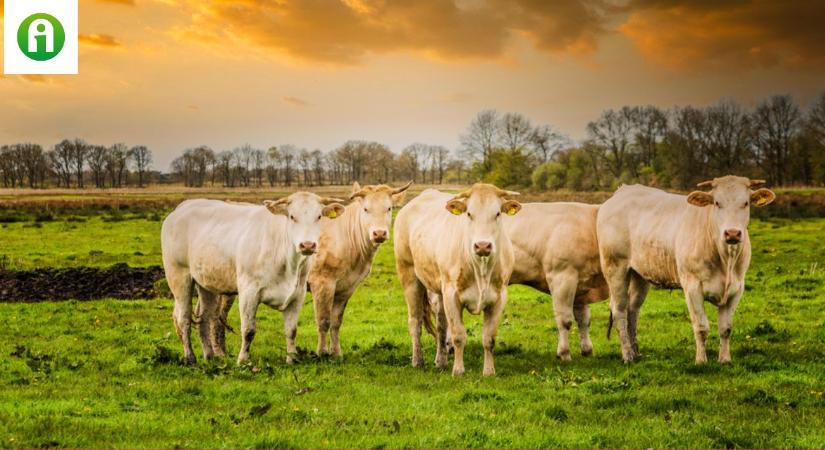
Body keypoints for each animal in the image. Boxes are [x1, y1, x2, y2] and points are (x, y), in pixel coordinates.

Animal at [161, 193, 344, 366]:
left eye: (319, 216)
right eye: (292, 216)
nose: (307, 245)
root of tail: (183, 207)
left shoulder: (297, 295)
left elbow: (291, 331)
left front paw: (292, 358)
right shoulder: (249, 291)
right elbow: (248, 330)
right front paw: (243, 360)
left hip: (207, 284)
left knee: (203, 318)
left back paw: (210, 357)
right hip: (179, 276)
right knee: (184, 318)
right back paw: (190, 357)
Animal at [394, 183, 520, 376]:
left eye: (497, 213)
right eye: (469, 214)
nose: (482, 245)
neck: (481, 269)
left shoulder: (499, 297)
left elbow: (489, 337)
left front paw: (489, 371)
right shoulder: (452, 295)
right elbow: (458, 335)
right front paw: (459, 371)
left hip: (439, 289)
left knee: (441, 325)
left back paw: (441, 361)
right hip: (409, 275)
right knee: (415, 322)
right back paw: (418, 361)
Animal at [498, 202, 608, 360]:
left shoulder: (582, 285)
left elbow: (584, 319)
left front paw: (587, 351)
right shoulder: (562, 277)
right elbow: (565, 320)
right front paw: (564, 353)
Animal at [596, 174, 776, 364]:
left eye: (746, 203)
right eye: (717, 203)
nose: (732, 233)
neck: (726, 260)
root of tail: (623, 191)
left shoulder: (737, 288)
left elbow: (726, 328)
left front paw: (725, 359)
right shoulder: (692, 287)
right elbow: (701, 327)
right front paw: (701, 360)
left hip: (640, 274)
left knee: (632, 310)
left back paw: (636, 352)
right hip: (615, 268)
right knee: (619, 311)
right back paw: (628, 355)